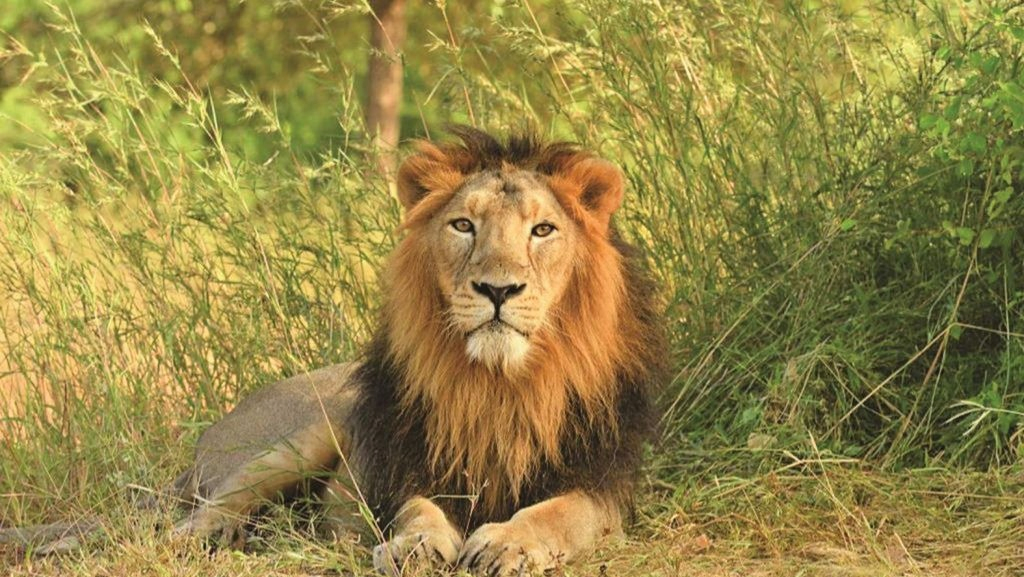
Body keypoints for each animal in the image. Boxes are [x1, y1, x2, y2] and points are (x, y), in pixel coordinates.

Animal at [171, 127, 668, 575]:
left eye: (543, 230)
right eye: (463, 225)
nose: (498, 289)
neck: (500, 384)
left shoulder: (602, 485)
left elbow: (558, 513)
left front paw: (507, 544)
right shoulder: (408, 466)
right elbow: (418, 509)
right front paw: (416, 545)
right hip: (303, 435)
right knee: (216, 503)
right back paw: (206, 535)